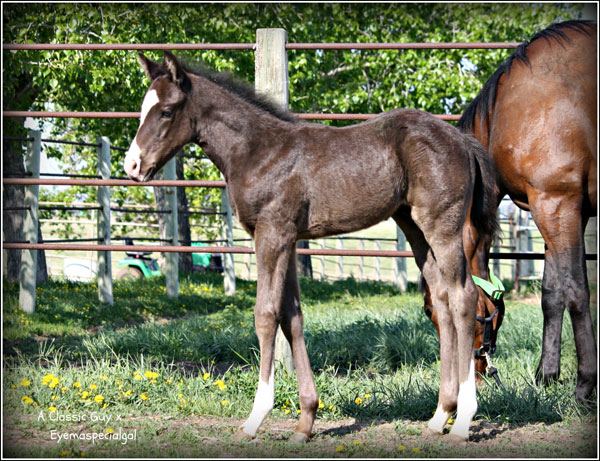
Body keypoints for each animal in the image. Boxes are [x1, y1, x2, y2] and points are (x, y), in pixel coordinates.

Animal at [123, 51, 496, 442]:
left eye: (166, 111)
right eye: (143, 109)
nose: (132, 165)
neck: (257, 151)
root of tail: (461, 139)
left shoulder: (271, 235)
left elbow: (266, 315)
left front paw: (256, 417)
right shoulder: (287, 239)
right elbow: (292, 316)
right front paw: (305, 420)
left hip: (442, 225)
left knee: (464, 296)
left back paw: (463, 420)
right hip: (413, 226)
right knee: (441, 297)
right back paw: (441, 415)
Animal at [446, 19, 596, 400]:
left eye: (429, 310)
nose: (471, 378)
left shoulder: (558, 203)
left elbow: (576, 291)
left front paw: (585, 384)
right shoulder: (552, 208)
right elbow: (552, 293)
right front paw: (547, 376)